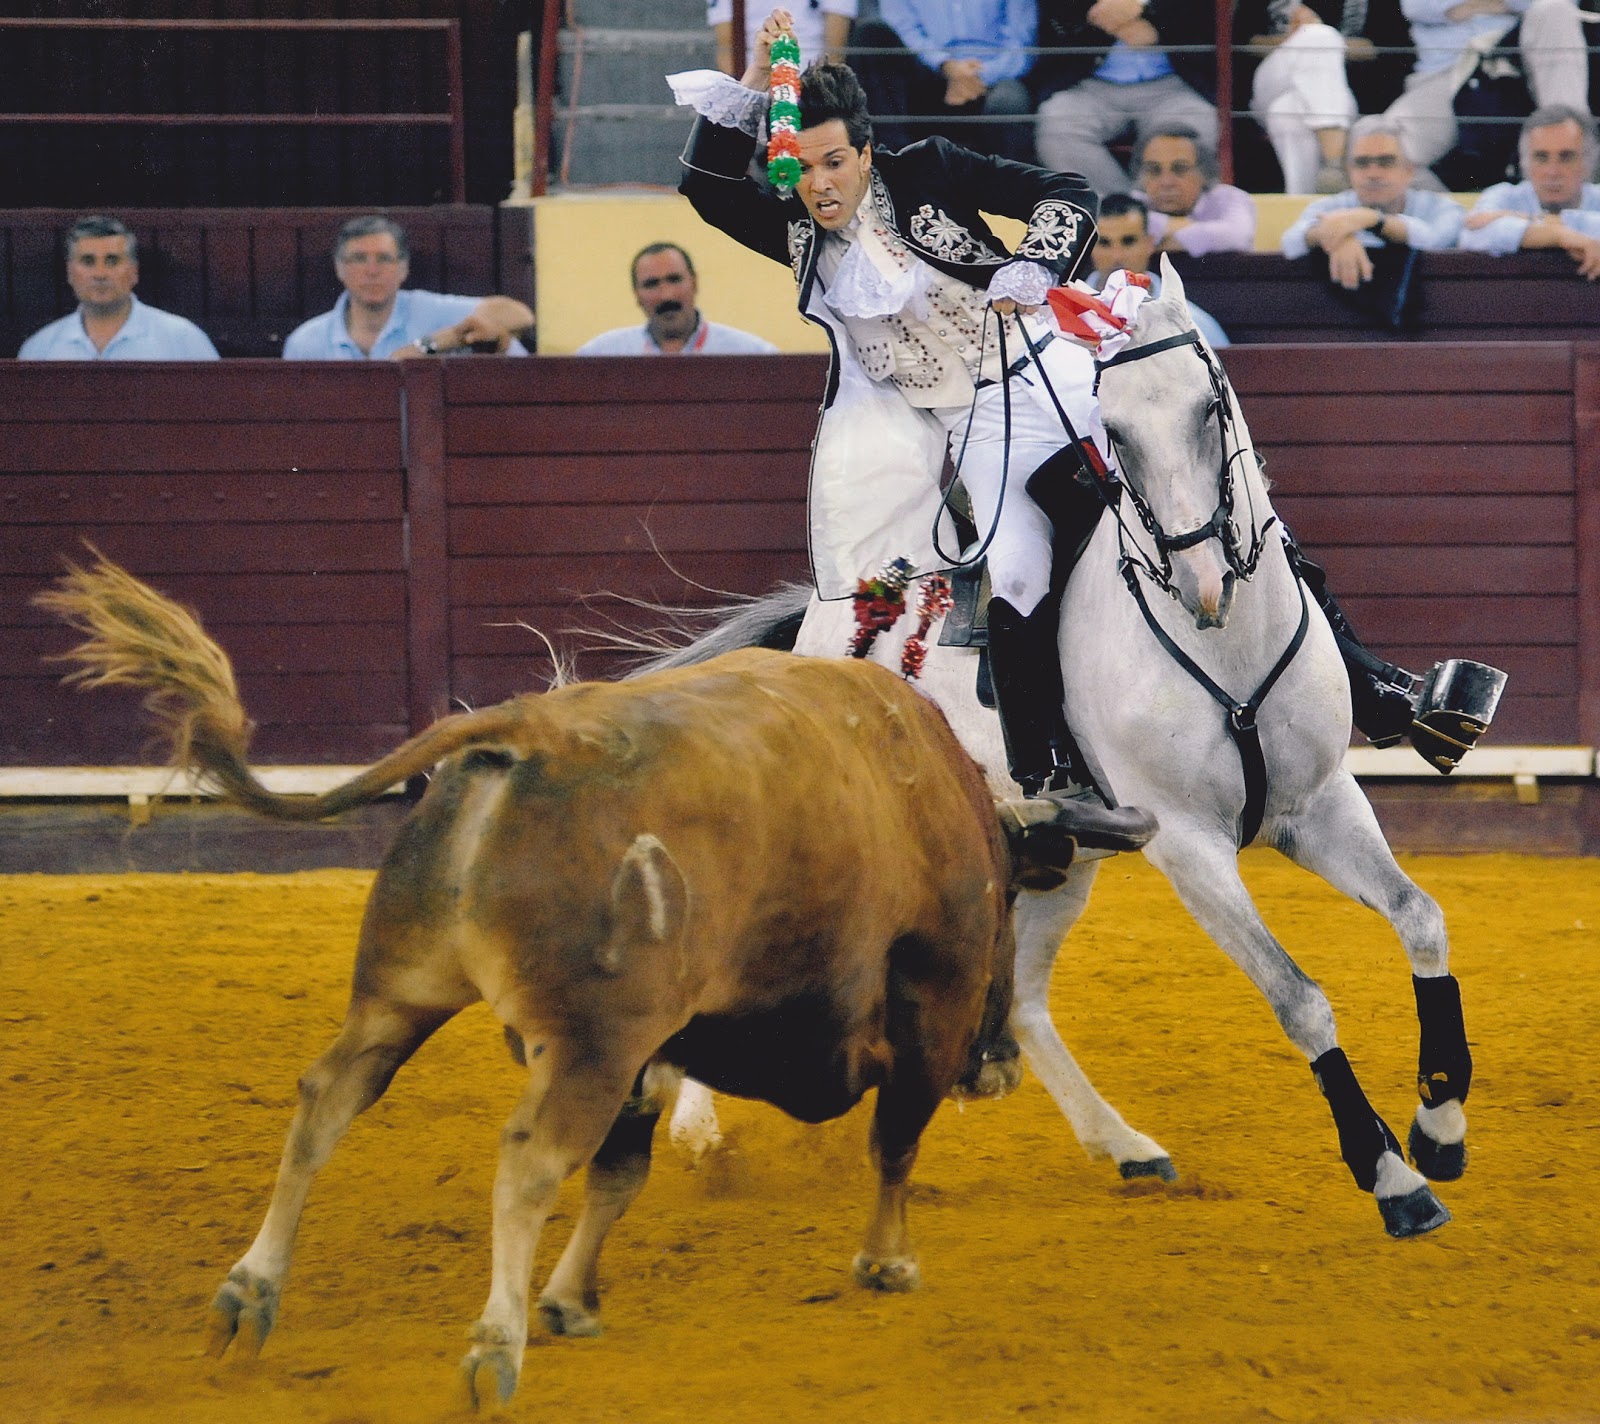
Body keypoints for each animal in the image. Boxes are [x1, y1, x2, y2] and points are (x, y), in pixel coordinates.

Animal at [37, 554, 1153, 1410]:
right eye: (1009, 909)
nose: (997, 1065)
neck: (941, 795)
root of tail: (531, 733)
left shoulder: (657, 1048)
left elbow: (623, 1171)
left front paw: (572, 1298)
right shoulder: (921, 1005)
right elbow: (893, 1144)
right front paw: (887, 1261)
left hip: (402, 991)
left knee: (327, 1100)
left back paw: (250, 1294)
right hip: (590, 1037)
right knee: (528, 1157)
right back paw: (491, 1350)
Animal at [654, 259, 1471, 1238]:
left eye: (1211, 403)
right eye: (1115, 433)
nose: (1202, 583)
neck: (1223, 648)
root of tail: (841, 622)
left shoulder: (1316, 804)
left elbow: (1421, 916)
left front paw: (1439, 1127)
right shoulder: (1190, 846)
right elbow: (1298, 997)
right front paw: (1391, 1177)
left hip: (1060, 860)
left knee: (1029, 1003)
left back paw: (1124, 1145)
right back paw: (702, 1136)